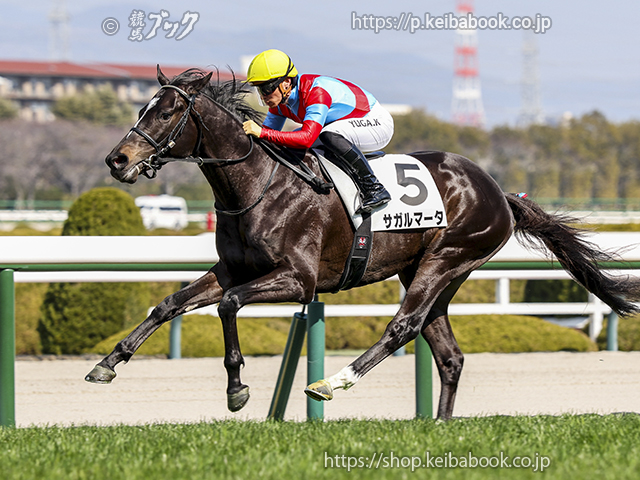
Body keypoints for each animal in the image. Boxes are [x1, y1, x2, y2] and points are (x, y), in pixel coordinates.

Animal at [86, 66, 640, 420]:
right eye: (142, 107)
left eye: (165, 114)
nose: (116, 159)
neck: (257, 183)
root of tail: (497, 191)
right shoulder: (234, 269)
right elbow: (169, 304)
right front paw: (107, 364)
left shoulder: (299, 279)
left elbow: (227, 305)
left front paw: (238, 389)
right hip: (430, 271)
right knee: (447, 352)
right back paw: (438, 425)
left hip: (449, 256)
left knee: (403, 326)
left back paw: (333, 382)